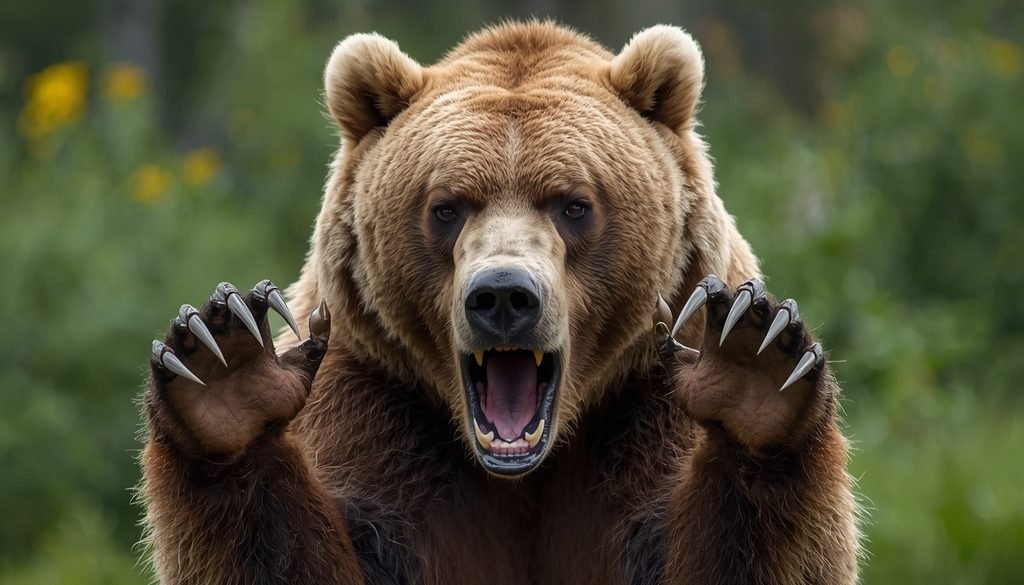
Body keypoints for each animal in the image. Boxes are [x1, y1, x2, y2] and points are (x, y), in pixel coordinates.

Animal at [140, 21, 860, 584]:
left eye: (574, 204)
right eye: (446, 207)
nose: (504, 296)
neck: (525, 472)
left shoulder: (647, 419)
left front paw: (751, 362)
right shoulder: (371, 422)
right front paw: (227, 369)